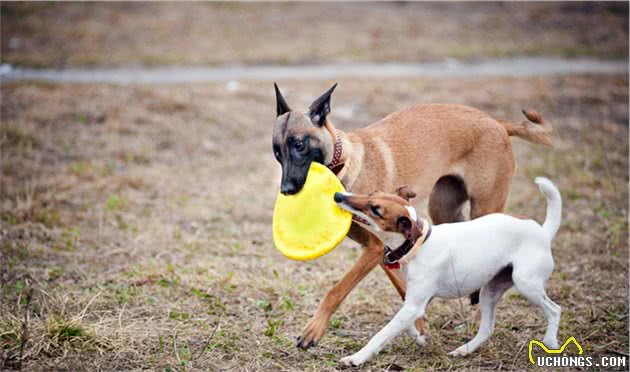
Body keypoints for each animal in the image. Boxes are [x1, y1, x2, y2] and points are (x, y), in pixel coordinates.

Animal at [272, 83, 552, 348]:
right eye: (276, 152)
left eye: (299, 145)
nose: (286, 190)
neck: (345, 164)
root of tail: (496, 122)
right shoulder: (385, 251)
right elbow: (403, 289)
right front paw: (419, 326)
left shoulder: (374, 249)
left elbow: (337, 290)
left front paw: (313, 330)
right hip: (443, 209)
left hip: (485, 208)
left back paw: (479, 318)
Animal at [334, 178, 564, 366]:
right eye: (371, 193)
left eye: (375, 210)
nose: (338, 196)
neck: (418, 245)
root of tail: (543, 232)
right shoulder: (415, 302)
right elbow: (405, 324)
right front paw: (419, 337)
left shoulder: (414, 304)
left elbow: (382, 333)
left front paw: (357, 357)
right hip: (490, 291)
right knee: (487, 329)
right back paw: (464, 350)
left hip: (526, 284)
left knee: (554, 309)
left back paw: (550, 341)